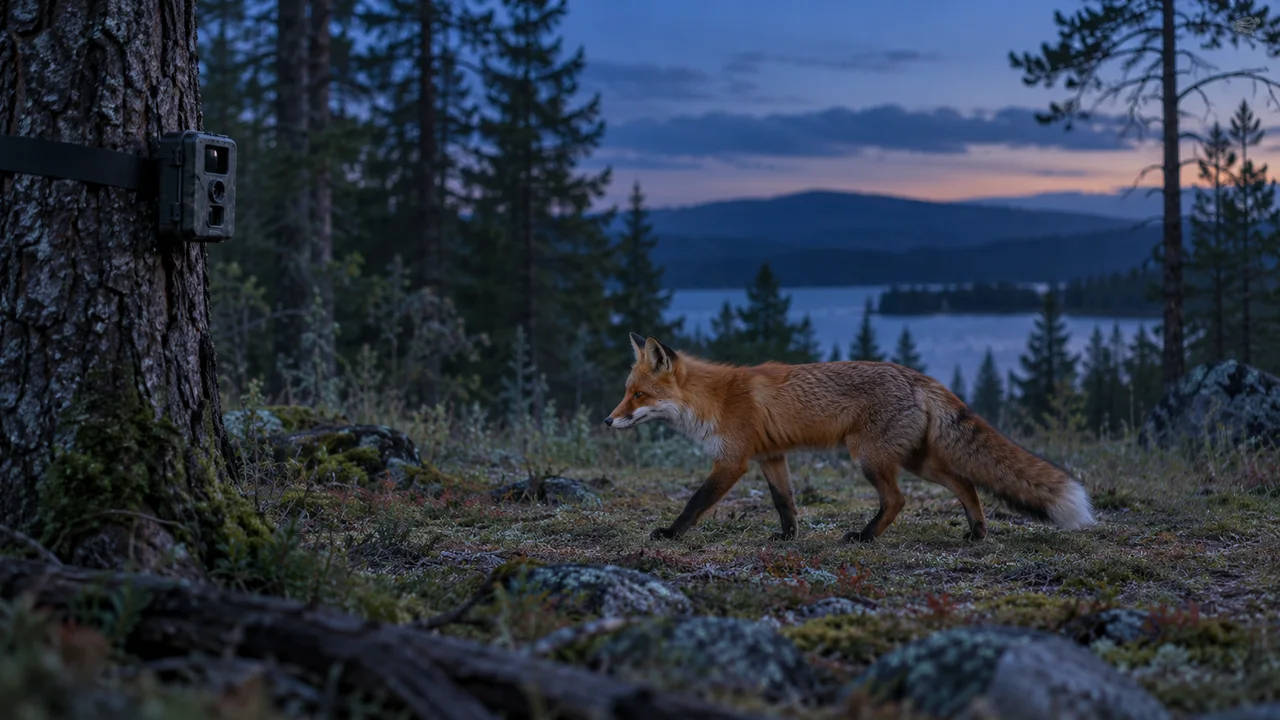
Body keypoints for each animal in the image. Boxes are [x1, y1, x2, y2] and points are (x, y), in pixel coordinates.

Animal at [605, 332, 1096, 543]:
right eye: (626, 392)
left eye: (638, 395)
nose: (609, 421)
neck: (714, 400)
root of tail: (919, 377)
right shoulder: (771, 457)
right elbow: (785, 503)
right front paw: (788, 538)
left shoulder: (733, 460)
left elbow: (696, 502)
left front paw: (670, 533)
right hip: (917, 460)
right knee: (966, 483)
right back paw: (976, 533)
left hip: (869, 457)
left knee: (898, 500)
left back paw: (864, 536)